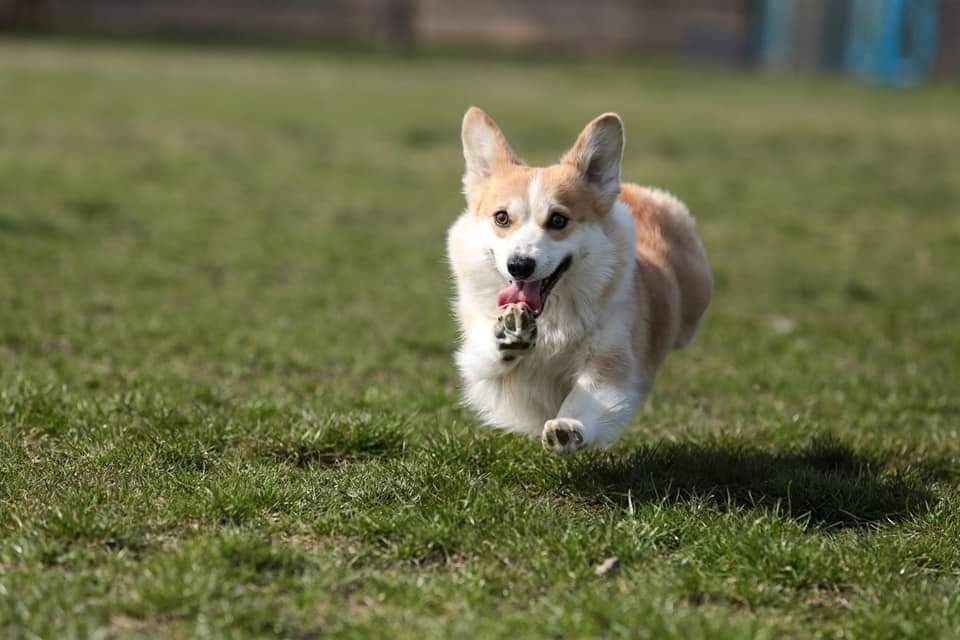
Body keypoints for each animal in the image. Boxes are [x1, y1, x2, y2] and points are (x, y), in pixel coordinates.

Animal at [446, 107, 708, 452]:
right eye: (502, 218)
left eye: (558, 220)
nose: (519, 266)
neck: (550, 317)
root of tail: (633, 191)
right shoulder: (479, 362)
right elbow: (486, 354)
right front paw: (508, 335)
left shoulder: (610, 359)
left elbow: (585, 397)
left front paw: (566, 427)